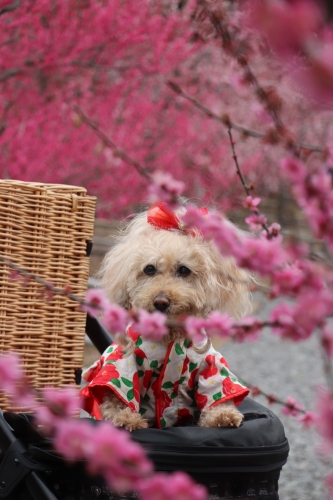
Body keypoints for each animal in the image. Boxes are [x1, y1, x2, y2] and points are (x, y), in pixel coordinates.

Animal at [81, 200, 250, 430]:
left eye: (184, 270)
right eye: (149, 269)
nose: (160, 302)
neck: (169, 335)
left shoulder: (209, 365)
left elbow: (216, 391)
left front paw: (223, 416)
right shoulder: (121, 364)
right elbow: (117, 394)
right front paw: (126, 418)